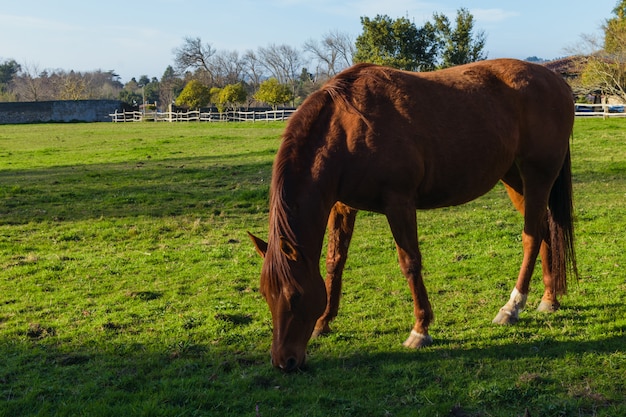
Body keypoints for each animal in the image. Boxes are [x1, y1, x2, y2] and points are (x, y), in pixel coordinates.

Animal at [249, 58, 576, 370]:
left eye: (295, 296)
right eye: (265, 294)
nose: (284, 361)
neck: (347, 127)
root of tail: (557, 82)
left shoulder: (399, 204)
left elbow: (410, 263)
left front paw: (420, 330)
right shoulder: (342, 206)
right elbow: (335, 263)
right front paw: (324, 322)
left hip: (537, 176)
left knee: (531, 238)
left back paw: (511, 308)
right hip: (515, 179)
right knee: (543, 231)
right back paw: (548, 299)